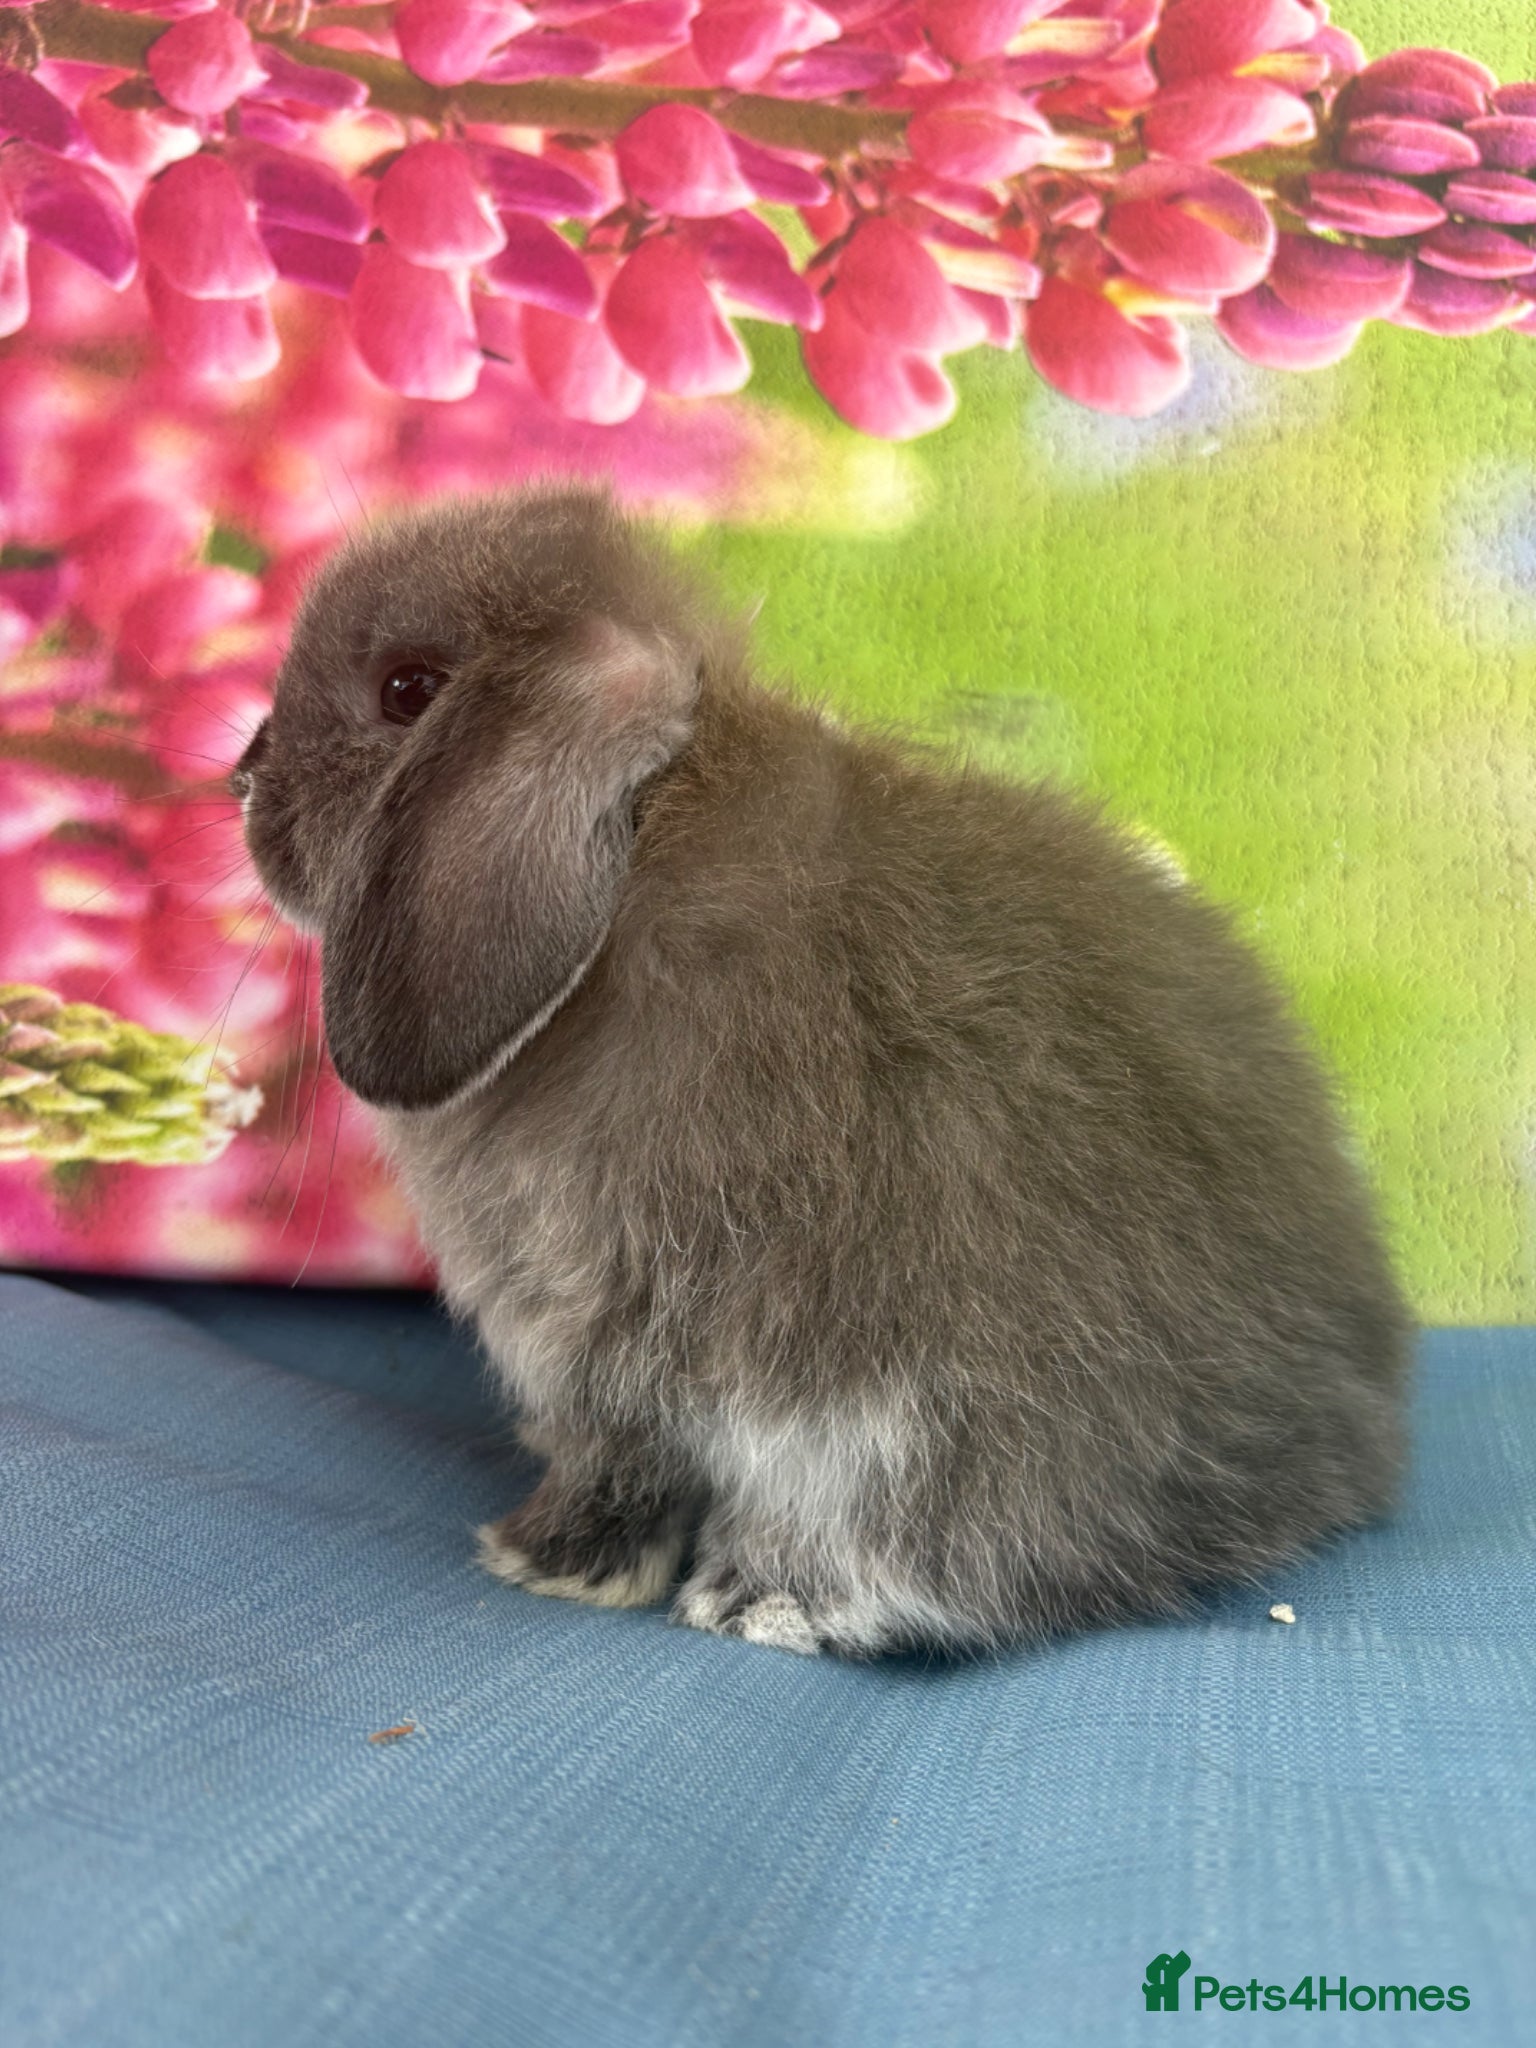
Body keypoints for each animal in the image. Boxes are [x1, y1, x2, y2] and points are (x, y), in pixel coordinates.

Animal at [234, 483, 1413, 1659]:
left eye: (408, 690)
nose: (241, 775)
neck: (644, 849)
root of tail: (1340, 1435)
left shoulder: (618, 1341)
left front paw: (545, 1557)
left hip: (925, 1395)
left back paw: (765, 1597)